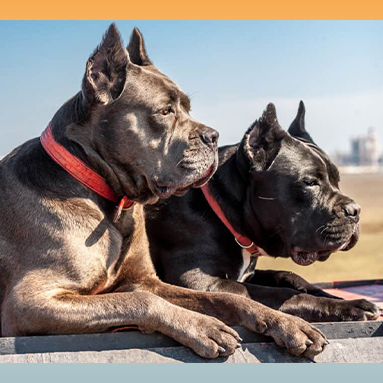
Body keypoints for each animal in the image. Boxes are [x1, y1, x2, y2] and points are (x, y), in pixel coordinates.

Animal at [0, 24, 330, 360]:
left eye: (187, 107)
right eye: (165, 111)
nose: (213, 136)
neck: (107, 200)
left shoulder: (148, 280)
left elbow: (228, 298)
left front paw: (285, 322)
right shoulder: (30, 303)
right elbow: (140, 300)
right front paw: (202, 326)